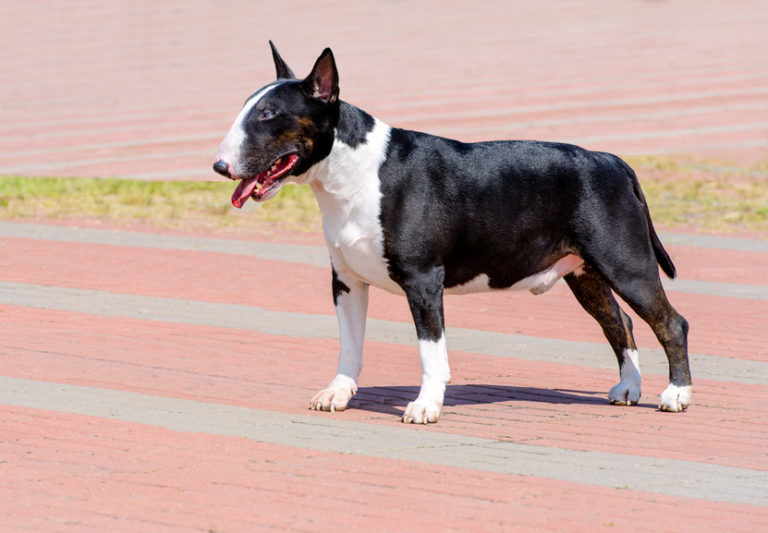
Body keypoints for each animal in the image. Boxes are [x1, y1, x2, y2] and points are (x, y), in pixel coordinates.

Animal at [213, 41, 692, 422]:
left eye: (269, 114)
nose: (219, 166)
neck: (354, 173)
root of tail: (613, 160)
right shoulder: (345, 282)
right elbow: (349, 343)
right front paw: (337, 393)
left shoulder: (424, 280)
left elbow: (431, 350)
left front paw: (425, 406)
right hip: (585, 271)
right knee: (620, 322)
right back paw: (628, 388)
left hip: (624, 262)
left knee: (670, 322)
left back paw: (676, 395)